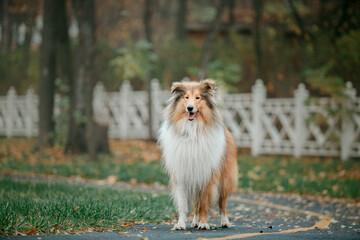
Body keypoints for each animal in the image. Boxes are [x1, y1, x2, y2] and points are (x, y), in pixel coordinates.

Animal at [159, 79, 238, 231]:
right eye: (186, 97)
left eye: (198, 98)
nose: (190, 108)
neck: (192, 130)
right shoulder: (183, 176)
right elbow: (184, 205)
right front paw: (180, 224)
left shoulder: (207, 176)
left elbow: (204, 204)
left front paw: (203, 223)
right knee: (196, 204)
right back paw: (194, 221)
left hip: (224, 179)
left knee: (222, 203)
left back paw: (224, 222)